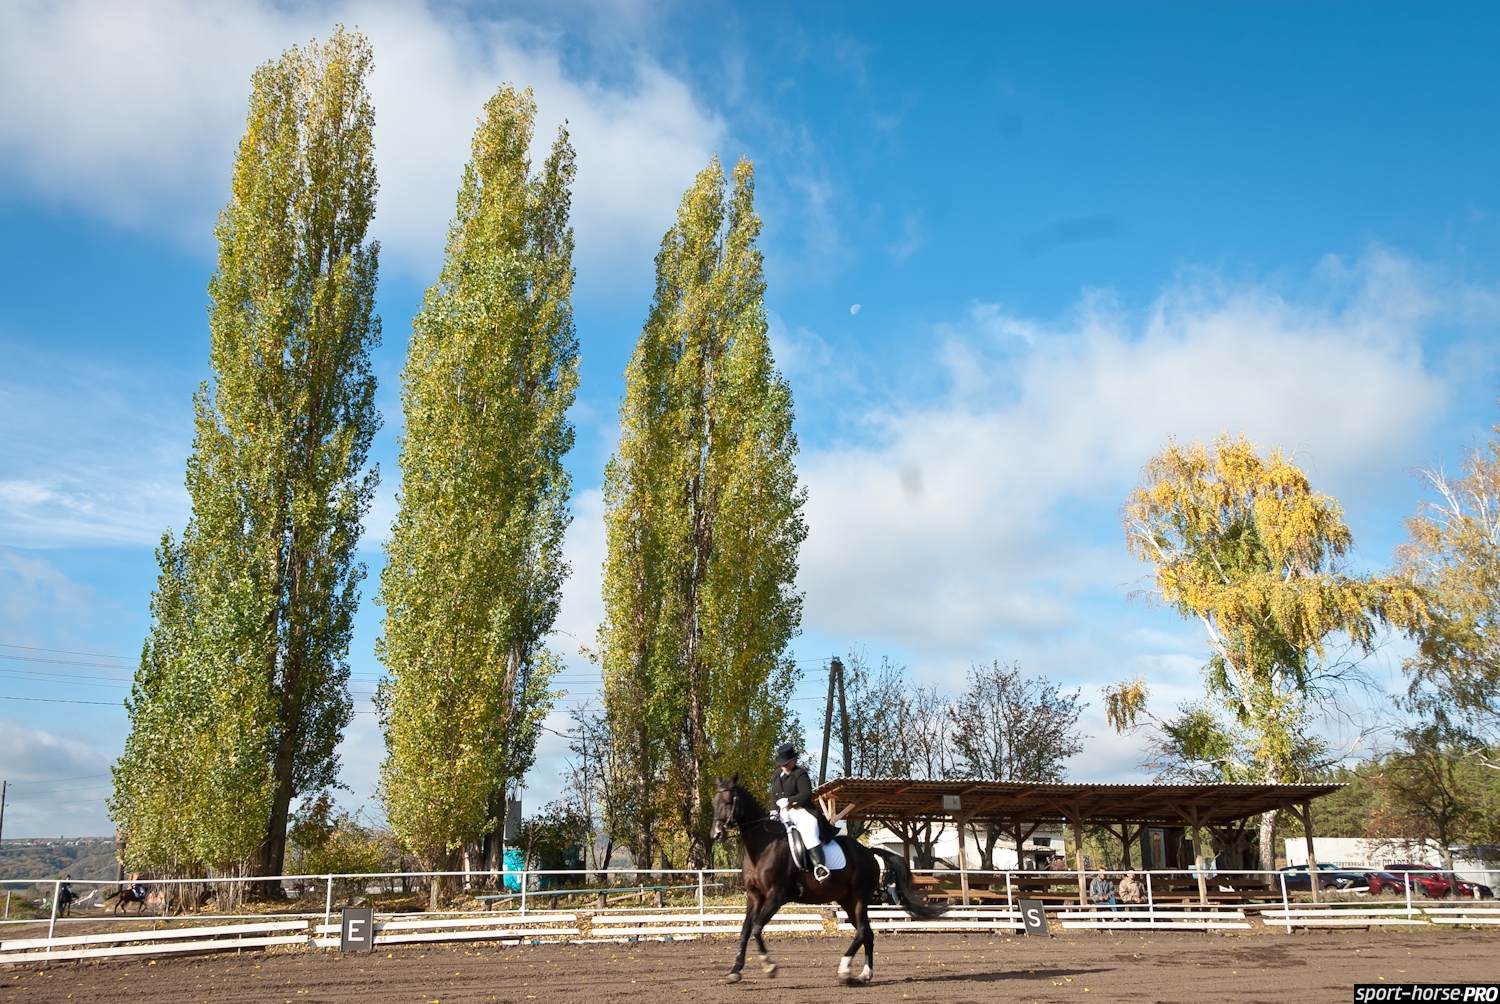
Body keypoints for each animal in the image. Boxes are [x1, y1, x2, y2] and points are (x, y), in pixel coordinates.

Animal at [708, 780, 942, 984]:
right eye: (713, 803)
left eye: (728, 802)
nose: (716, 834)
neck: (763, 845)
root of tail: (868, 851)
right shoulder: (755, 897)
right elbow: (745, 931)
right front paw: (735, 971)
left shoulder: (777, 895)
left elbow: (756, 928)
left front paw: (769, 966)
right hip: (847, 901)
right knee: (867, 932)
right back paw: (865, 974)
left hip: (859, 898)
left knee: (862, 931)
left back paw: (844, 969)